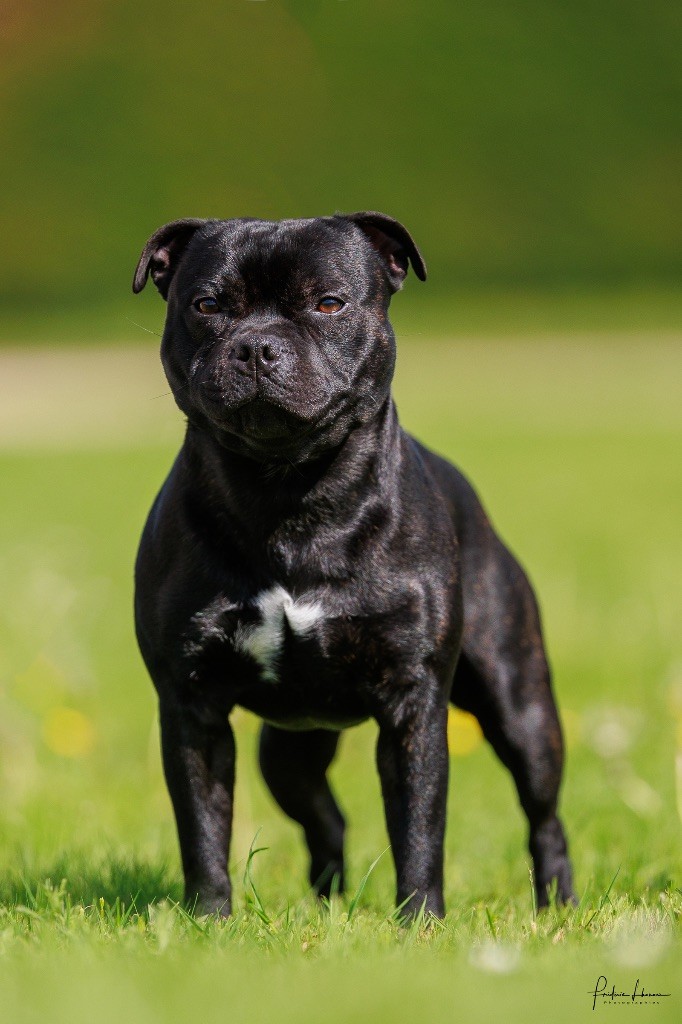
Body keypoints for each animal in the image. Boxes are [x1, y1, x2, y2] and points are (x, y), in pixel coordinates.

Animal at [130, 211, 569, 917]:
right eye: (207, 306)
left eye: (329, 303)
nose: (257, 347)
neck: (288, 492)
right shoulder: (192, 708)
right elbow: (202, 828)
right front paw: (209, 922)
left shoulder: (413, 708)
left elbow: (419, 828)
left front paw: (420, 923)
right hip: (289, 751)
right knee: (324, 816)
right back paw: (325, 905)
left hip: (521, 705)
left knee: (544, 812)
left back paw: (557, 902)